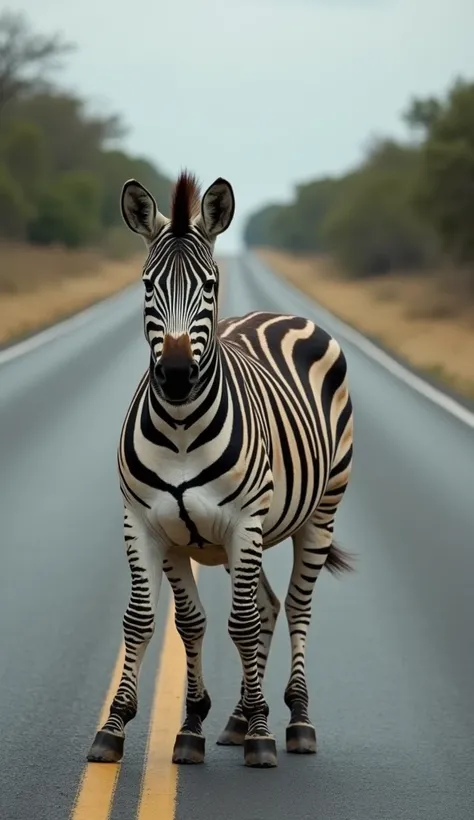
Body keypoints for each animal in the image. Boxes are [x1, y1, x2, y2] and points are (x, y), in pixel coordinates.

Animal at [87, 168, 354, 768]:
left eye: (209, 285)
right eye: (147, 286)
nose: (176, 376)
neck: (182, 428)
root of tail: (270, 314)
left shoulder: (243, 524)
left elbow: (241, 624)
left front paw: (261, 734)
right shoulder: (148, 526)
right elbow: (164, 621)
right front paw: (154, 726)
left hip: (318, 513)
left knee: (294, 607)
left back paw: (295, 722)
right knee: (270, 607)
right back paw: (234, 721)